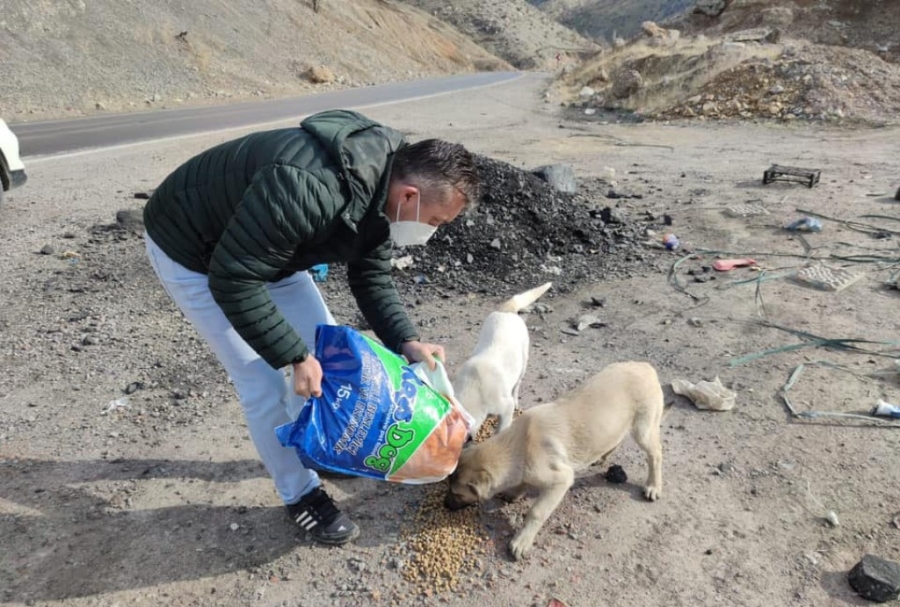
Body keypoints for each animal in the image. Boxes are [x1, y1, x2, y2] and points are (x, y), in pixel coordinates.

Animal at [446, 364, 664, 564]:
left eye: (457, 494)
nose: (444, 506)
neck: (519, 444)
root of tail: (647, 367)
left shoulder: (561, 480)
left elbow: (536, 512)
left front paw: (522, 541)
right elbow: (523, 482)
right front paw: (514, 493)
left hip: (643, 430)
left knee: (656, 454)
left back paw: (653, 486)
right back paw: (604, 456)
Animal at [454, 282, 552, 440]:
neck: (473, 387)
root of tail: (507, 311)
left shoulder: (506, 406)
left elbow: (501, 429)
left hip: (523, 363)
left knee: (517, 386)